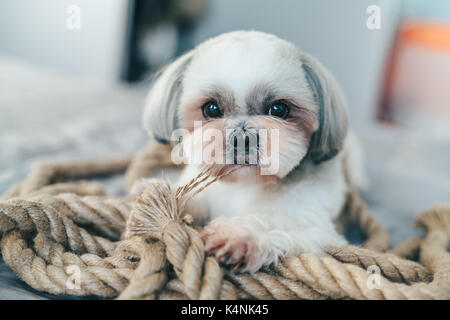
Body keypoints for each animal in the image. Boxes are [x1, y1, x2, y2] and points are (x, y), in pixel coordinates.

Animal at [135, 30, 364, 272]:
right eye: (211, 108)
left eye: (279, 109)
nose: (242, 137)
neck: (246, 185)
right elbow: (192, 198)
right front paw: (158, 194)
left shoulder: (318, 229)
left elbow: (276, 223)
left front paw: (237, 235)